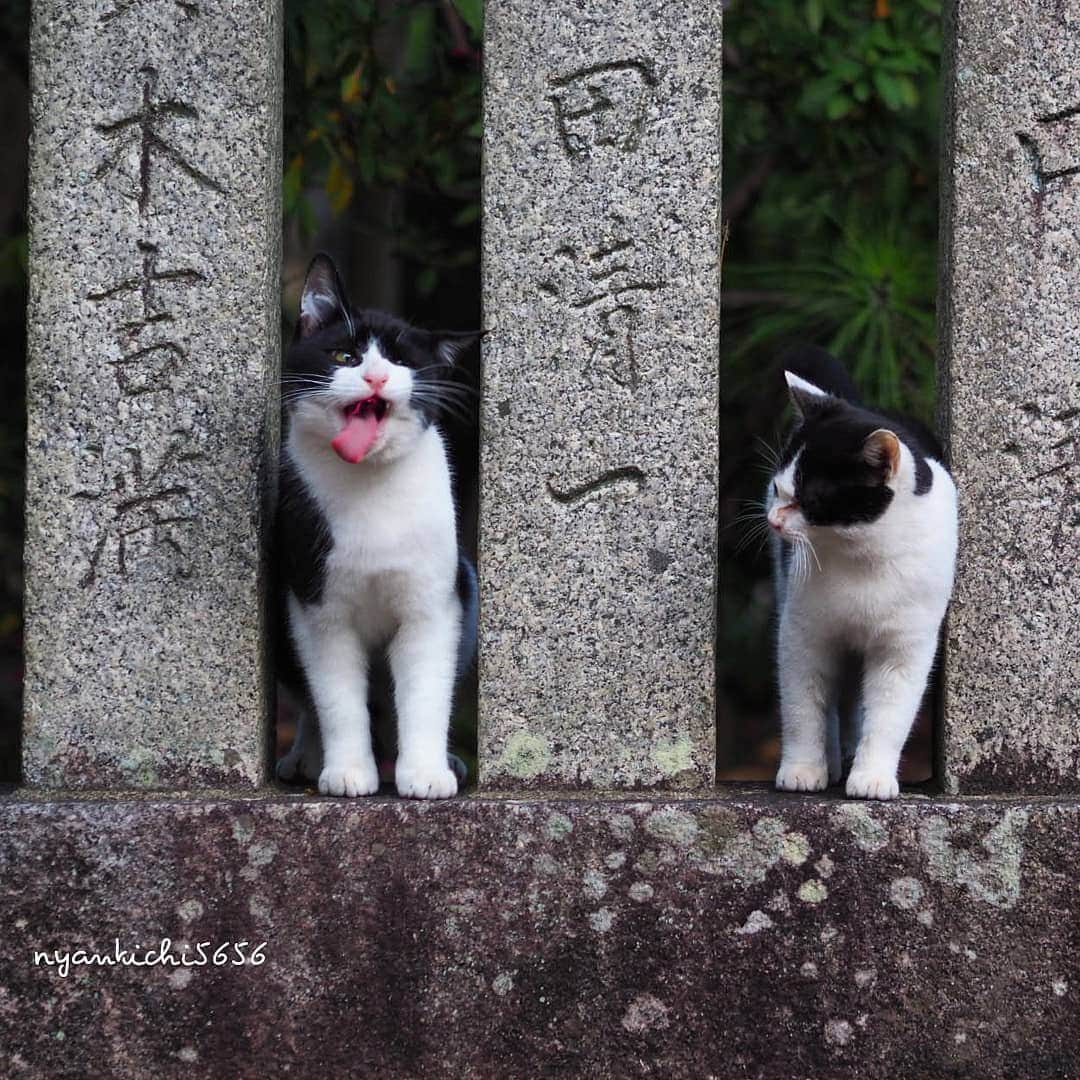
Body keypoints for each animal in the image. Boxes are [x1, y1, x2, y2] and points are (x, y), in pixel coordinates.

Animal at [276, 250, 479, 794]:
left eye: (403, 362)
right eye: (345, 357)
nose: (376, 378)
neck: (370, 488)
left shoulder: (436, 602)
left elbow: (425, 692)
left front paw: (426, 773)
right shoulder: (317, 604)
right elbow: (336, 697)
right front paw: (348, 773)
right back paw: (306, 759)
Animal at [764, 347, 959, 803]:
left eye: (810, 499)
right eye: (779, 490)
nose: (773, 521)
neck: (862, 555)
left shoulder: (904, 647)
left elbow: (889, 716)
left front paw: (873, 778)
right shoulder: (803, 634)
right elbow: (803, 707)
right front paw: (802, 769)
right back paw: (833, 761)